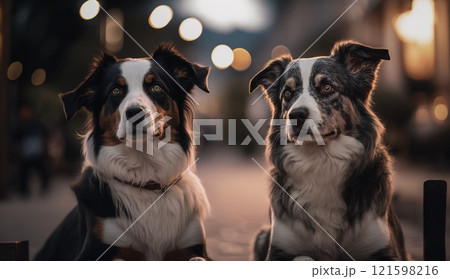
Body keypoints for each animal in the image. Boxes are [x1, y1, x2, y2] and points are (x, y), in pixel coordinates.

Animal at [35, 44, 211, 262]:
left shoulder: (194, 244)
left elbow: (197, 258)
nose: (135, 112)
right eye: (116, 90)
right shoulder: (94, 248)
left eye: (157, 88)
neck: (146, 176)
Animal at [250, 40, 408, 262]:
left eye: (327, 87)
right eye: (287, 94)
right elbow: (303, 257)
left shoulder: (386, 251)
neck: (321, 161)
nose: (296, 115)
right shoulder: (278, 251)